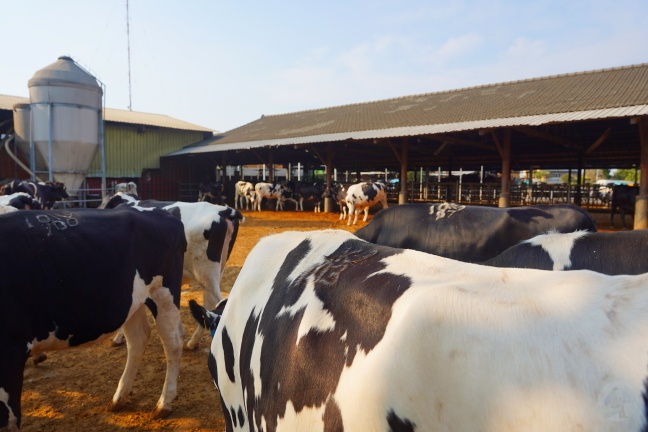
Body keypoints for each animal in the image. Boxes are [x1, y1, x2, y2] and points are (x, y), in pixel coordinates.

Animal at [0, 205, 187, 428]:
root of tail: (162, 212)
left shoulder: (10, 350)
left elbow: (9, 418)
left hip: (163, 293)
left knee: (173, 343)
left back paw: (164, 403)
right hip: (131, 302)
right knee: (138, 339)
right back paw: (119, 398)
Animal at [101, 194, 243, 350]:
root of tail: (223, 210)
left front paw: (118, 337)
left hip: (205, 275)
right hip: (216, 272)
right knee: (209, 304)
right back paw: (192, 342)